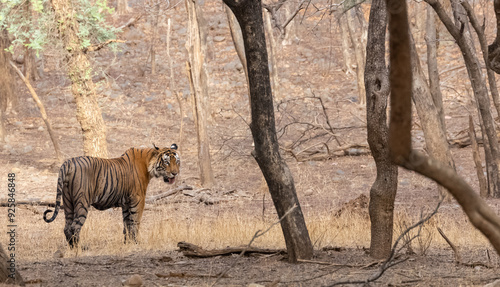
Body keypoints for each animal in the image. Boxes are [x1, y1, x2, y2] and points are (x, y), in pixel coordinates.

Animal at [43, 145, 180, 249]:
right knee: (74, 227)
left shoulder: (126, 203)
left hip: (67, 202)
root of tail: (68, 162)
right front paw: (136, 243)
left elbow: (127, 224)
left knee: (66, 227)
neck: (148, 162)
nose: (175, 173)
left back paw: (71, 249)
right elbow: (135, 222)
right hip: (82, 202)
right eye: (166, 162)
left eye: (177, 161)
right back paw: (79, 249)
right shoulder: (138, 199)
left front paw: (127, 243)